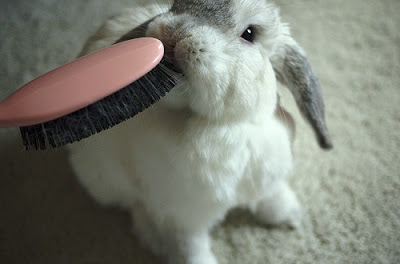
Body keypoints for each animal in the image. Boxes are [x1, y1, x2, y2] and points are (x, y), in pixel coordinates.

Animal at [69, 1, 332, 262]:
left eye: (249, 33)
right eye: (177, 5)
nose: (173, 33)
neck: (219, 125)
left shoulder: (265, 177)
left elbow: (271, 196)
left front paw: (291, 216)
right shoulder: (182, 216)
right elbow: (190, 247)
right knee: (135, 204)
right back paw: (152, 236)